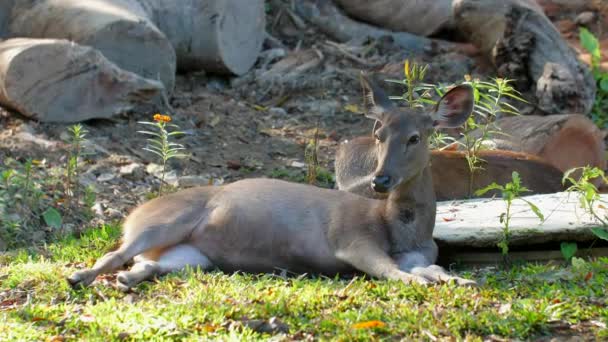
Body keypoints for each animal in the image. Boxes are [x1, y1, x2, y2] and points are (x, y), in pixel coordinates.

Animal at [66, 75, 476, 292]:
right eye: (378, 133)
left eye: (415, 138)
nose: (381, 179)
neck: (399, 230)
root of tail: (132, 214)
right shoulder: (350, 238)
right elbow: (391, 271)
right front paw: (427, 283)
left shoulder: (419, 255)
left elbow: (433, 269)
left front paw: (458, 280)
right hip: (164, 221)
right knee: (116, 252)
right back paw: (78, 276)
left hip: (191, 256)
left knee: (146, 264)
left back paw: (125, 280)